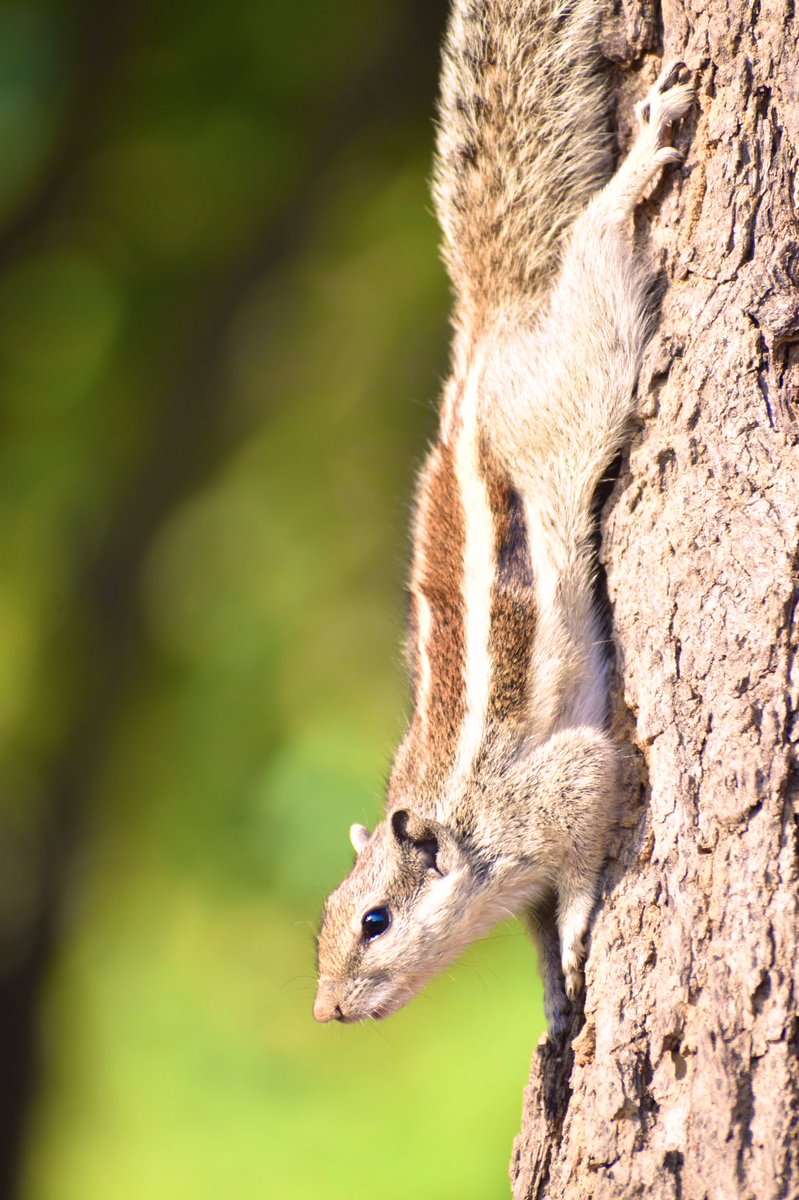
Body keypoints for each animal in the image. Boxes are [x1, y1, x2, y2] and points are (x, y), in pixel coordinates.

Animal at [314, 0, 694, 1034]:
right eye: (322, 920)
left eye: (374, 919)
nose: (325, 1011)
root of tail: (484, 331)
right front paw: (552, 987)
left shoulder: (565, 783)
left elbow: (584, 840)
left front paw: (576, 932)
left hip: (579, 368)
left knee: (597, 252)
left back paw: (638, 164)